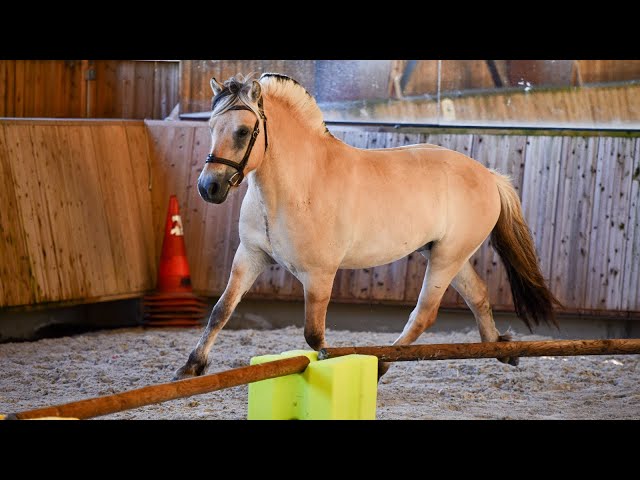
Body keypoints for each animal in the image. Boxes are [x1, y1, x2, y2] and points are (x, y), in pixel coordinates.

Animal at [174, 73, 561, 380]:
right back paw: (502, 350)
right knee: (478, 295)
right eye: (211, 127)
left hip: (447, 258)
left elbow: (315, 337)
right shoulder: (250, 255)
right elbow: (221, 311)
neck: (296, 186)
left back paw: (382, 366)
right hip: (446, 254)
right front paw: (192, 366)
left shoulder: (319, 275)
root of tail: (489, 176)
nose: (209, 188)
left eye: (242, 131)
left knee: (423, 315)